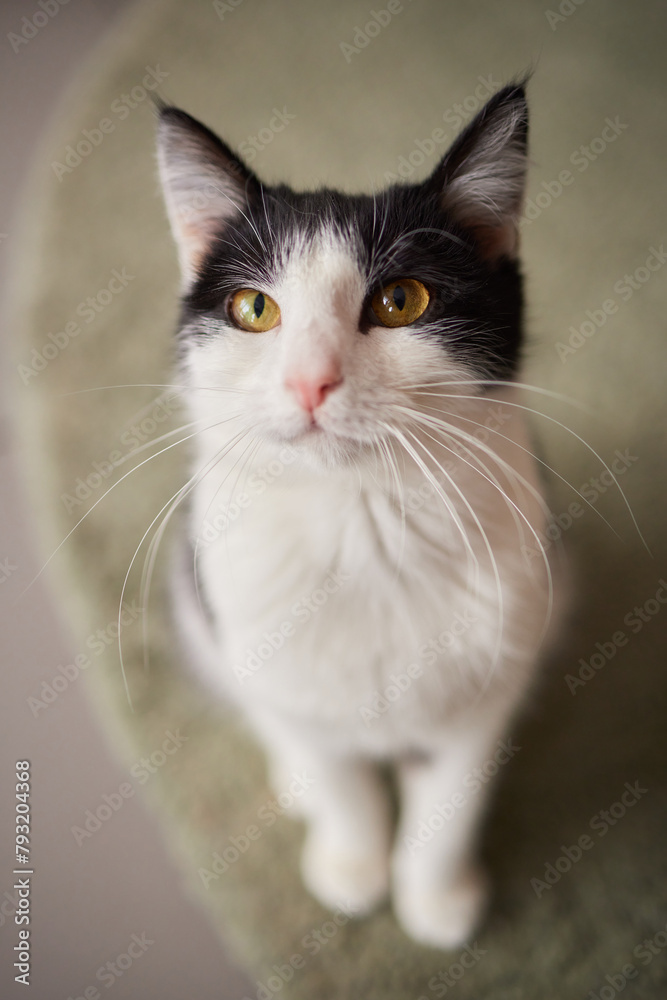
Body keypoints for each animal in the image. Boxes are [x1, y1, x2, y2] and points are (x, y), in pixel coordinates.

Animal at [157, 82, 560, 948]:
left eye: (400, 300)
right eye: (252, 307)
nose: (310, 380)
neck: (361, 527)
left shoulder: (493, 667)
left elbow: (454, 794)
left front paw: (435, 898)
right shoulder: (251, 624)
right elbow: (339, 773)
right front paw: (351, 866)